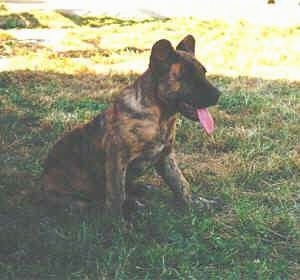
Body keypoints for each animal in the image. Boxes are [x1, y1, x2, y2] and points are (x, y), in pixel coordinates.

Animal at [41, 35, 221, 219]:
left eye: (204, 73)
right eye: (188, 77)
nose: (218, 95)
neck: (159, 116)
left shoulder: (166, 156)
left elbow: (180, 183)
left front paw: (195, 203)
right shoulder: (117, 158)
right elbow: (116, 195)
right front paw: (116, 223)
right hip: (75, 202)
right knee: (96, 203)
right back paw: (130, 205)